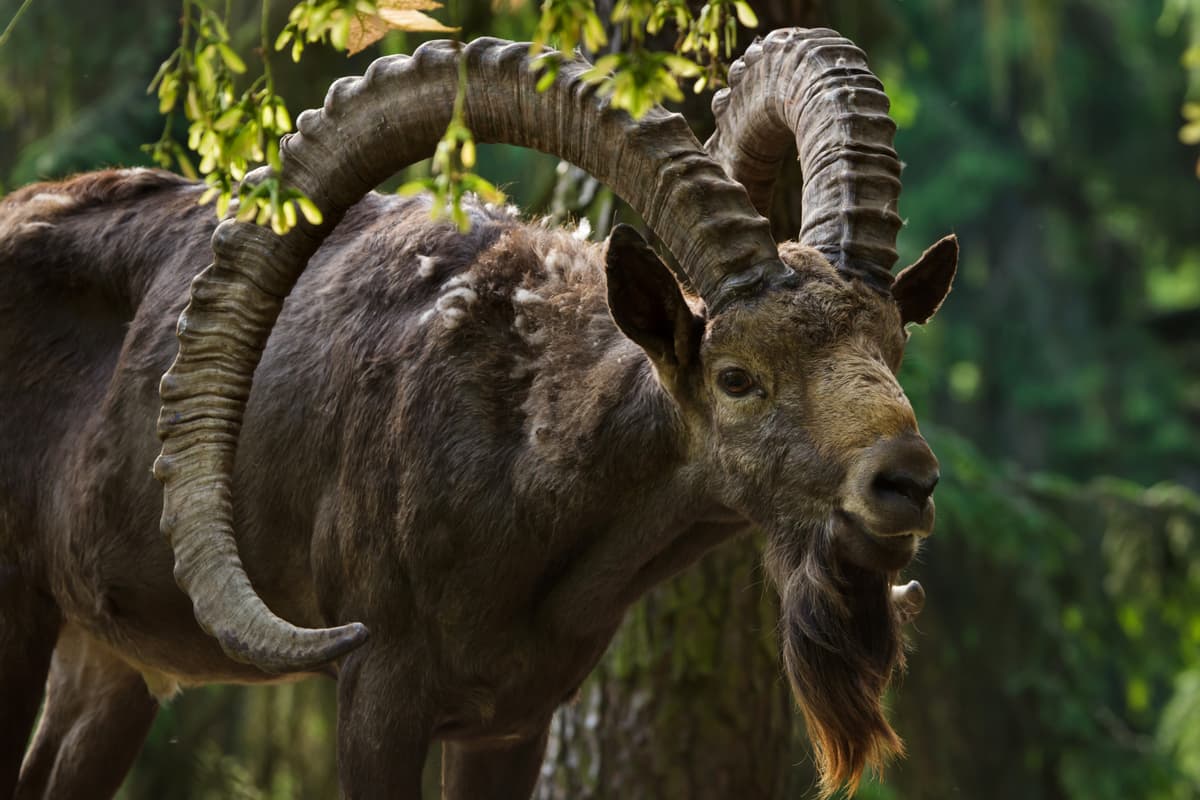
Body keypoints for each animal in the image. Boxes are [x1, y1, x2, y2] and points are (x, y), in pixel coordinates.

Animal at [0, 30, 956, 799]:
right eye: (736, 377)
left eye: (891, 350)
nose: (906, 482)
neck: (523, 454)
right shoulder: (379, 693)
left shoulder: (512, 722)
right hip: (20, 616)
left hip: (106, 668)